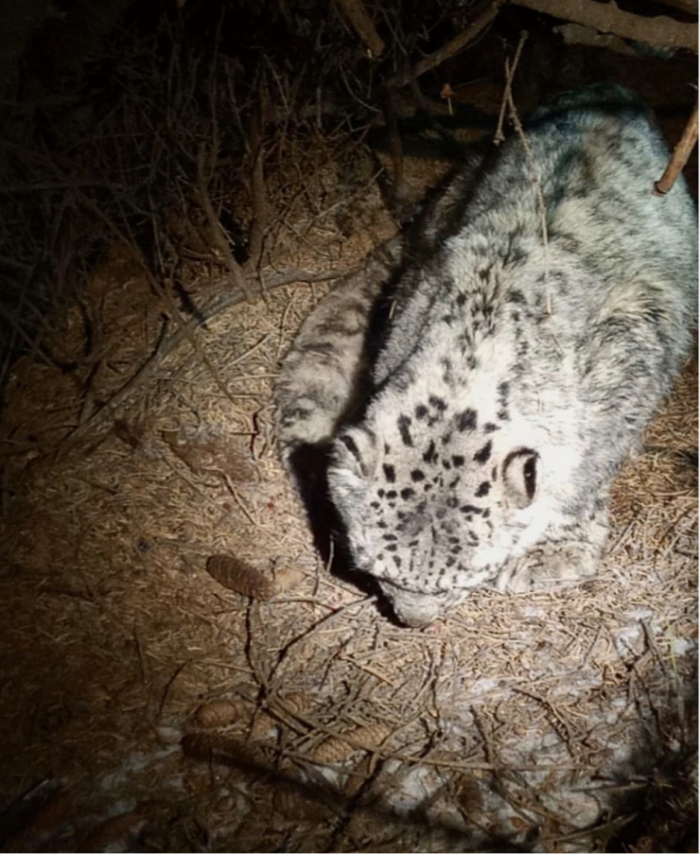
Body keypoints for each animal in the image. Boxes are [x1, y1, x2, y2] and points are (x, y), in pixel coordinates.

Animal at [276, 85, 696, 628]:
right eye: (375, 569)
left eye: (466, 578)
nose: (413, 621)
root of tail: (609, 90)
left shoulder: (628, 362)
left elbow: (593, 467)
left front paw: (556, 549)